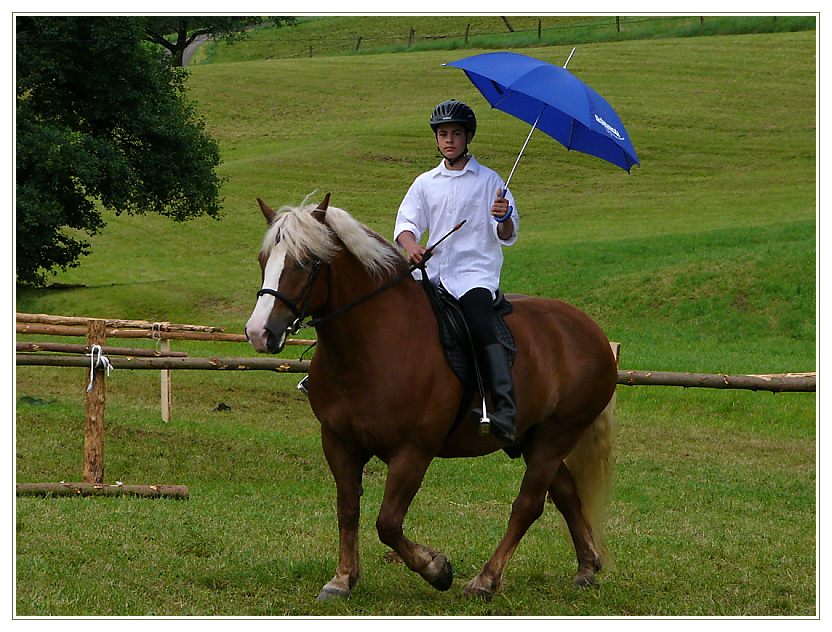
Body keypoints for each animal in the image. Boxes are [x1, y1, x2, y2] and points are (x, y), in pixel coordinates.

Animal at [244, 194, 616, 604]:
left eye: (306, 262)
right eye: (264, 260)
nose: (259, 332)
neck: (374, 341)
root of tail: (590, 330)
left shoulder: (412, 452)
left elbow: (388, 523)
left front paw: (436, 569)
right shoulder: (339, 443)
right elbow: (348, 510)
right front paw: (342, 579)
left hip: (555, 436)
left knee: (528, 505)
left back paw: (486, 580)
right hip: (531, 439)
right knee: (565, 492)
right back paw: (586, 568)